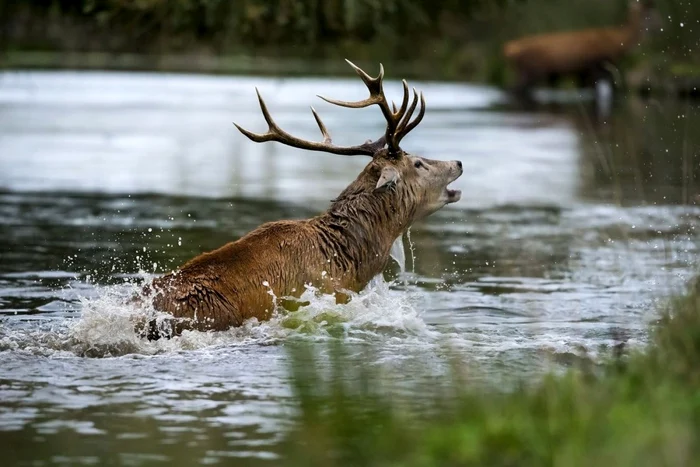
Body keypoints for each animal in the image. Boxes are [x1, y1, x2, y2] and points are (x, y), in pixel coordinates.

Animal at [504, 0, 660, 102]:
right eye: (649, 13)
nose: (661, 25)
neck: (618, 43)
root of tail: (509, 50)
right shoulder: (597, 66)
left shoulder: (583, 72)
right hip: (531, 71)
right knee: (514, 90)